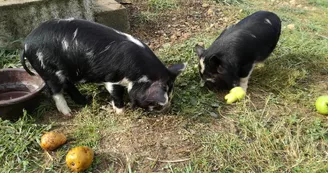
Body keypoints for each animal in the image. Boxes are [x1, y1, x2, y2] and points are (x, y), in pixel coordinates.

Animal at [20, 18, 186, 115]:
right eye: (156, 103)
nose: (166, 109)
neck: (138, 74)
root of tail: (27, 44)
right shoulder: (112, 79)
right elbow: (116, 94)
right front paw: (121, 112)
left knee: (67, 85)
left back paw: (84, 101)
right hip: (48, 69)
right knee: (55, 90)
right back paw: (68, 113)